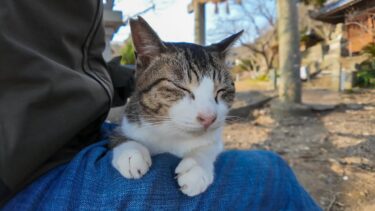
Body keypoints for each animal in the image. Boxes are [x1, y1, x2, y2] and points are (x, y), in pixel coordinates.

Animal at [110, 16, 244, 196]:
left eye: (222, 90)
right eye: (181, 87)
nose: (209, 118)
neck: (172, 132)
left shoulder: (215, 137)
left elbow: (209, 147)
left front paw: (197, 167)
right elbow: (118, 134)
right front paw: (131, 152)